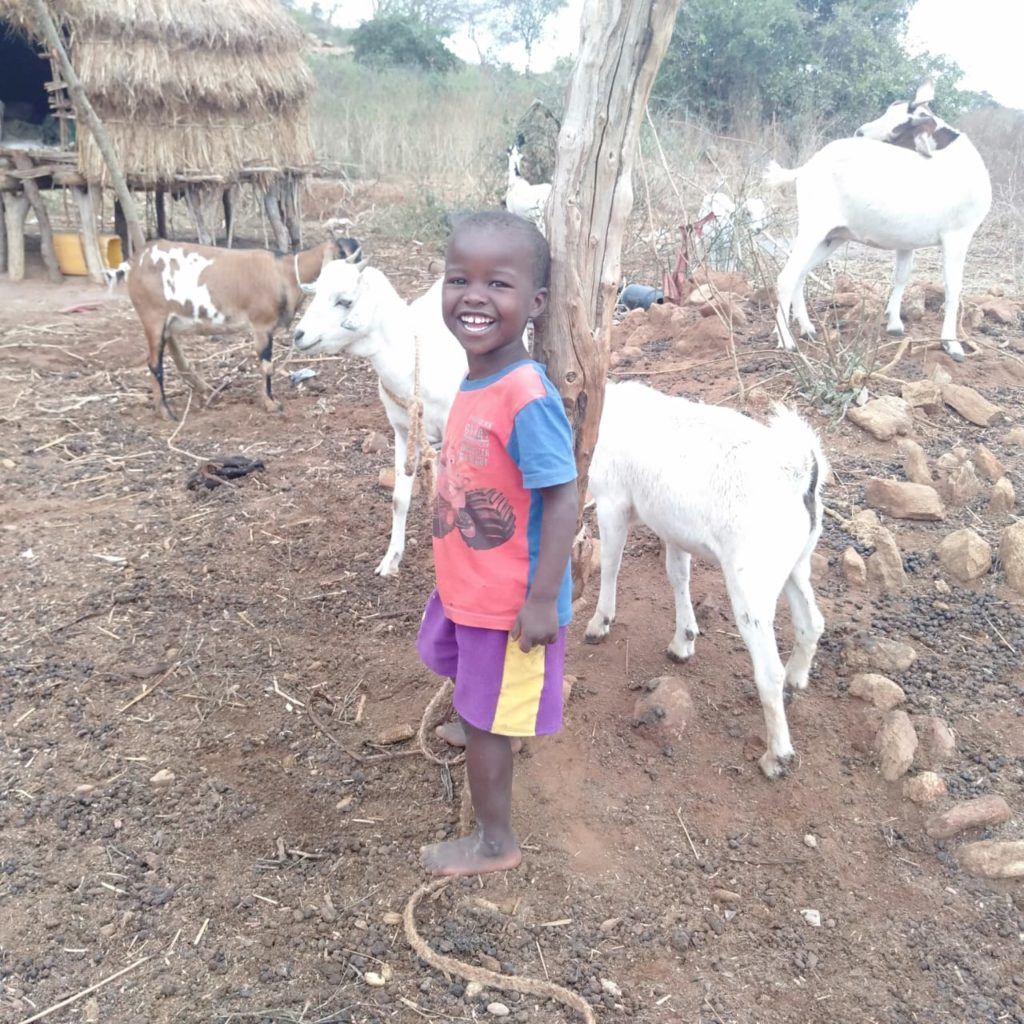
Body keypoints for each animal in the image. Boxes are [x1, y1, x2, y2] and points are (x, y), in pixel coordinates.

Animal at [288, 260, 464, 577]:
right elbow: (399, 499)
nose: (299, 335)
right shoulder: (402, 430)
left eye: (345, 301)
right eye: (315, 293)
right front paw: (391, 559)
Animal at [581, 382, 827, 774]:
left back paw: (776, 755)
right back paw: (796, 678)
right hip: (796, 562)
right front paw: (683, 641)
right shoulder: (673, 527)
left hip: (751, 579)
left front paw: (599, 623)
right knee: (811, 622)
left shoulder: (612, 501)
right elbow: (677, 574)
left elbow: (611, 562)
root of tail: (801, 470)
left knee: (768, 670)